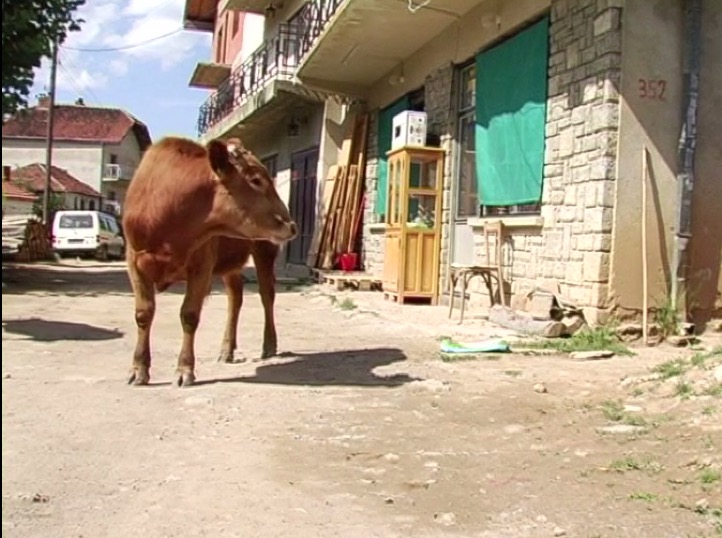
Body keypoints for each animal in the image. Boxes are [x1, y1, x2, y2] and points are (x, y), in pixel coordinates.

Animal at [124, 136, 296, 384]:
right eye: (255, 180)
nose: (290, 224)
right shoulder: (135, 263)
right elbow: (143, 314)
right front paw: (139, 368)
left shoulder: (201, 266)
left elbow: (189, 315)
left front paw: (184, 369)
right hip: (230, 264)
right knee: (235, 298)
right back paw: (227, 349)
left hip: (264, 250)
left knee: (267, 295)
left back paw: (269, 343)